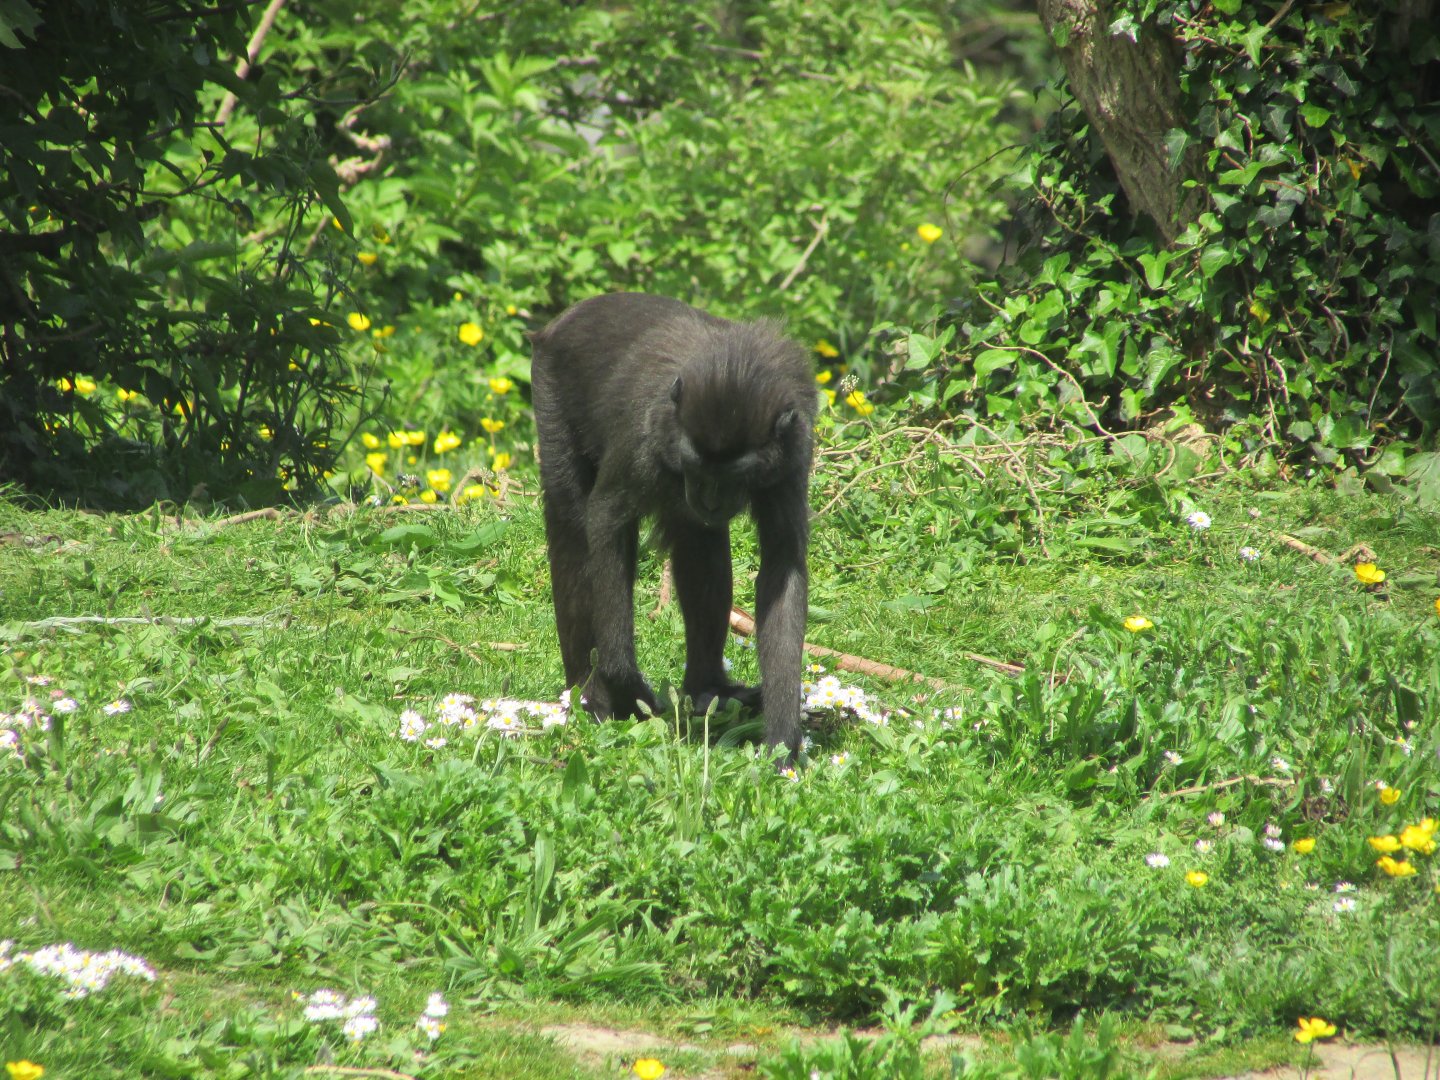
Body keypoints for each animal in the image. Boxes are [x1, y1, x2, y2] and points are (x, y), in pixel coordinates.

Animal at [530, 292, 817, 758]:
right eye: (695, 467)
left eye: (733, 477)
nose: (707, 498)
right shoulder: (643, 433)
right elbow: (606, 520)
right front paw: (626, 685)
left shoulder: (793, 449)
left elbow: (781, 566)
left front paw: (782, 740)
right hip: (550, 389)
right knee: (572, 528)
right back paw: (588, 692)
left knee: (700, 541)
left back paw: (707, 689)